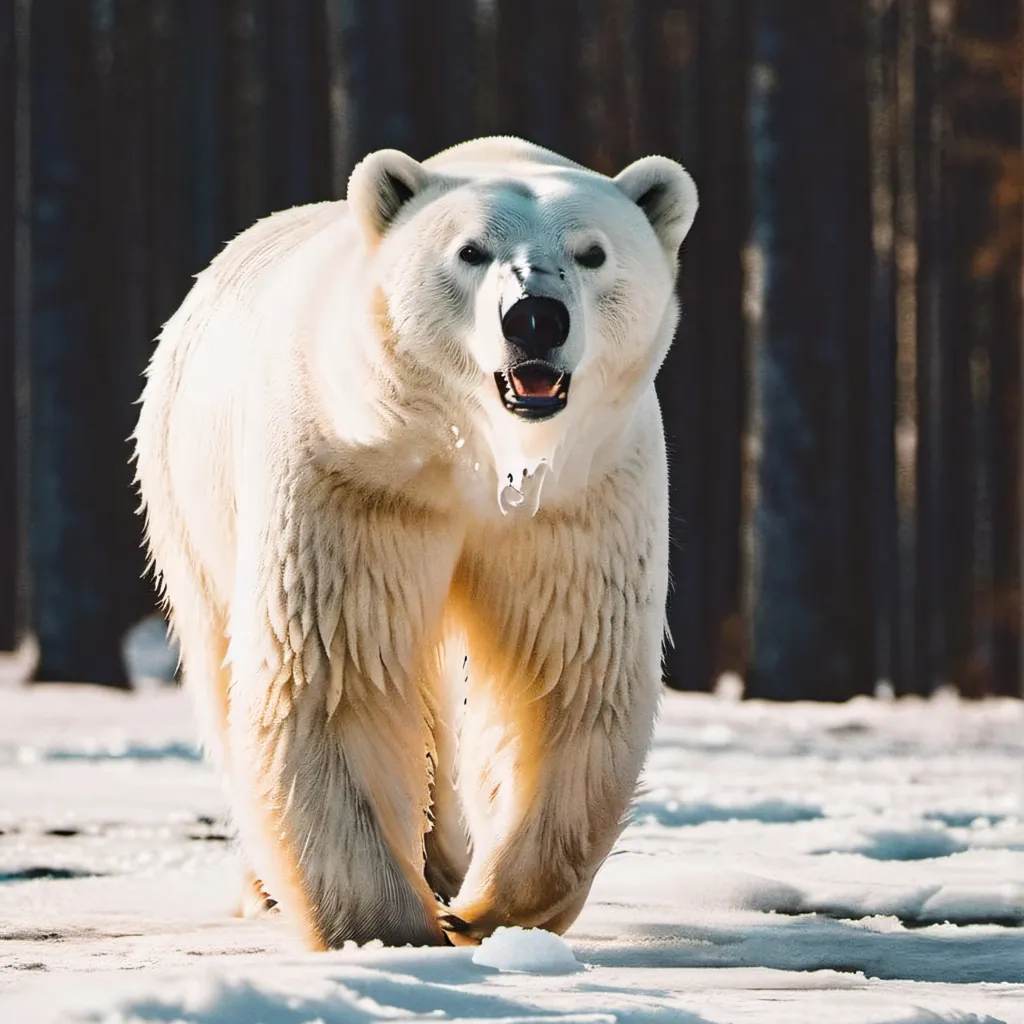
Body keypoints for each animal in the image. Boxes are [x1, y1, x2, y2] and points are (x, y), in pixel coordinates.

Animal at [132, 136, 698, 950]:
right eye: (470, 250)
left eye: (593, 252)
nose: (535, 318)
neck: (471, 454)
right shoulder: (352, 475)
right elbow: (336, 673)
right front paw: (390, 926)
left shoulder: (575, 496)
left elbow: (565, 672)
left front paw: (491, 906)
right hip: (186, 491)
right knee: (219, 658)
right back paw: (274, 886)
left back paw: (447, 864)